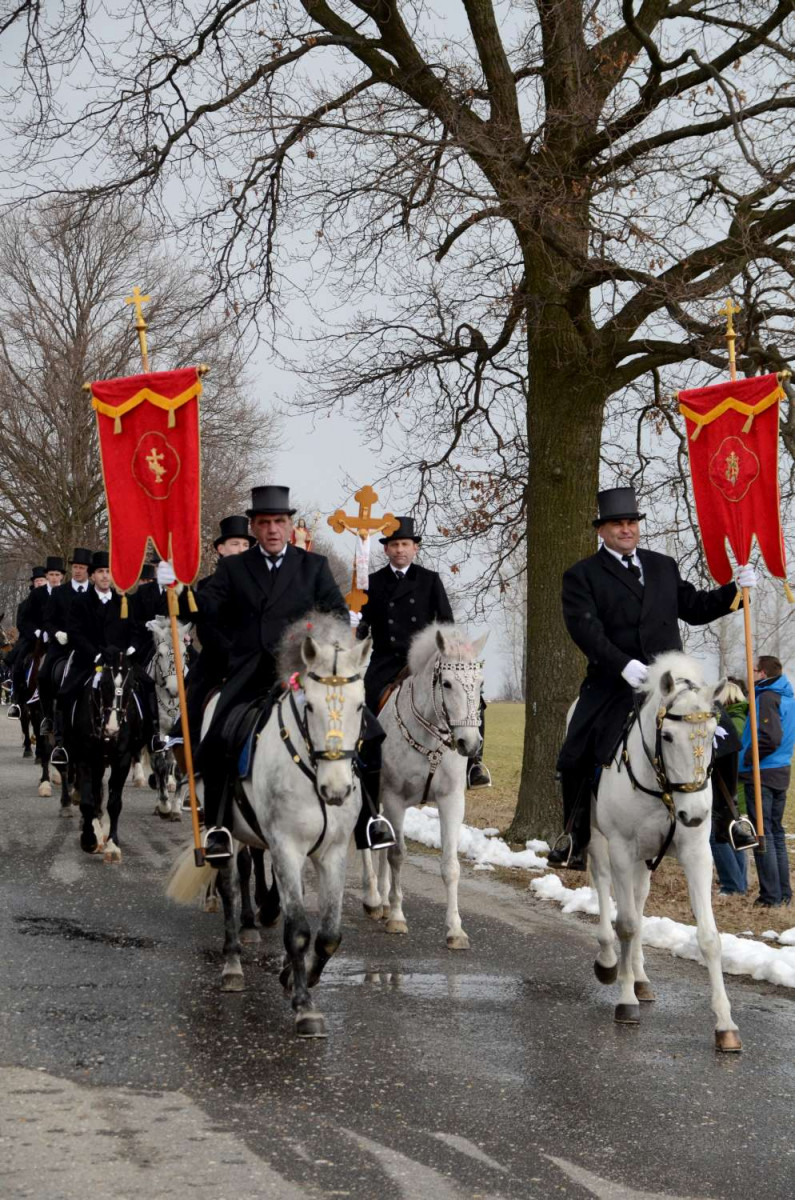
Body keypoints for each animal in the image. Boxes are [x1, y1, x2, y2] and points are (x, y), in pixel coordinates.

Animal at [169, 614, 374, 1036]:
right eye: (309, 705)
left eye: (360, 705)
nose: (335, 789)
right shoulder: (287, 847)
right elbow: (297, 930)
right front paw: (305, 1006)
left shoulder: (331, 853)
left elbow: (329, 934)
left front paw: (300, 976)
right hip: (228, 834)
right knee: (232, 888)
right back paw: (233, 962)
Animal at [360, 628, 485, 945]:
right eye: (447, 683)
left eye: (479, 683)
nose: (469, 744)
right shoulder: (394, 798)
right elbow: (397, 855)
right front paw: (396, 917)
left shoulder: (451, 800)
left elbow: (451, 866)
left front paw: (455, 929)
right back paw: (373, 898)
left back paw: (382, 898)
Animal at [590, 652, 739, 1056]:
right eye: (668, 736)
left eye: (713, 737)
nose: (696, 815)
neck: (663, 789)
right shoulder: (621, 847)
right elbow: (626, 923)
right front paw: (626, 1001)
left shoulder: (696, 854)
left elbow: (709, 937)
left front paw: (725, 1024)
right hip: (599, 840)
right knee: (605, 886)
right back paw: (609, 962)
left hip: (645, 857)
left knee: (639, 899)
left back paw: (640, 976)